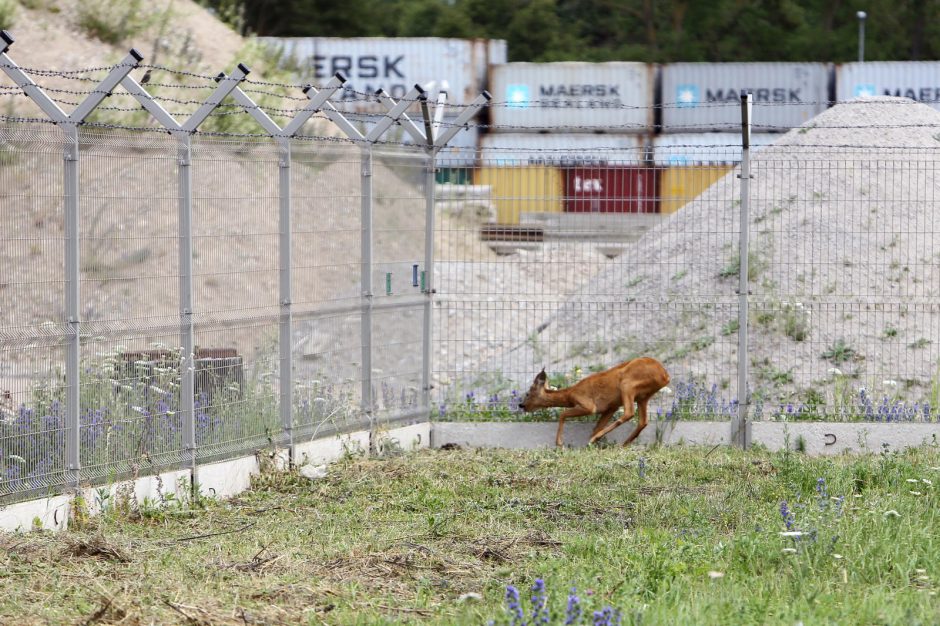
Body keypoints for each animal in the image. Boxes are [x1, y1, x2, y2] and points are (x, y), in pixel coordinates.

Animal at [520, 354, 668, 446]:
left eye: (527, 394)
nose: (521, 405)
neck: (570, 394)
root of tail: (665, 376)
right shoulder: (610, 407)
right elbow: (596, 427)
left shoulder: (588, 405)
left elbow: (563, 414)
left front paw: (559, 443)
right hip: (643, 396)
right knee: (643, 421)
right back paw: (622, 444)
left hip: (627, 384)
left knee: (629, 413)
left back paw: (596, 440)